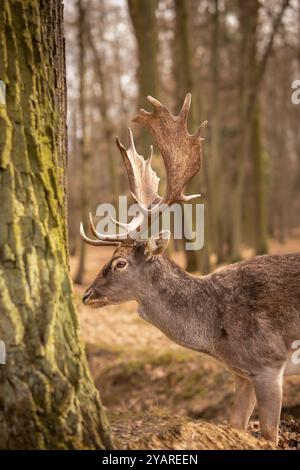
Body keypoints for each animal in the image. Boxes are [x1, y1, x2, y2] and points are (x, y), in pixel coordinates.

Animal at [80, 93, 300, 442]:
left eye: (119, 262)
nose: (86, 295)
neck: (216, 330)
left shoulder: (269, 362)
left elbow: (268, 434)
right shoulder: (242, 373)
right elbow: (234, 424)